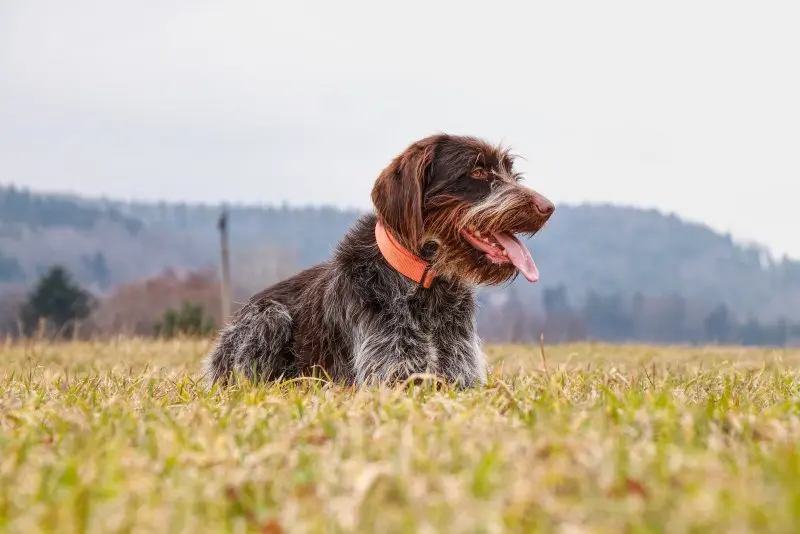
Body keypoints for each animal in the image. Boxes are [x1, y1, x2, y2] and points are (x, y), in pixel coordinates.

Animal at [206, 132, 552, 388]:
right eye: (478, 172)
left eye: (512, 174)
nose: (548, 207)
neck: (426, 286)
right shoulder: (390, 376)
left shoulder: (462, 376)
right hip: (268, 317)